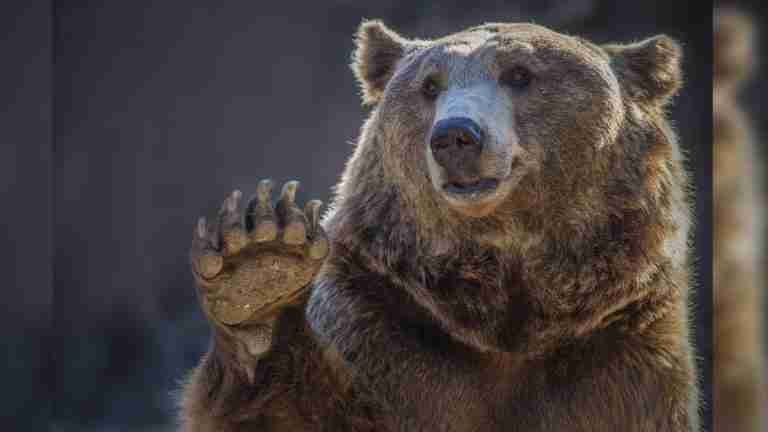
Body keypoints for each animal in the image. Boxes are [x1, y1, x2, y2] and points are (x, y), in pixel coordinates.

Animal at [179, 21, 699, 431]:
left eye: (520, 74)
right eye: (430, 85)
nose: (455, 136)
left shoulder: (618, 354)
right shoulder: (384, 326)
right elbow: (290, 411)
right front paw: (259, 269)